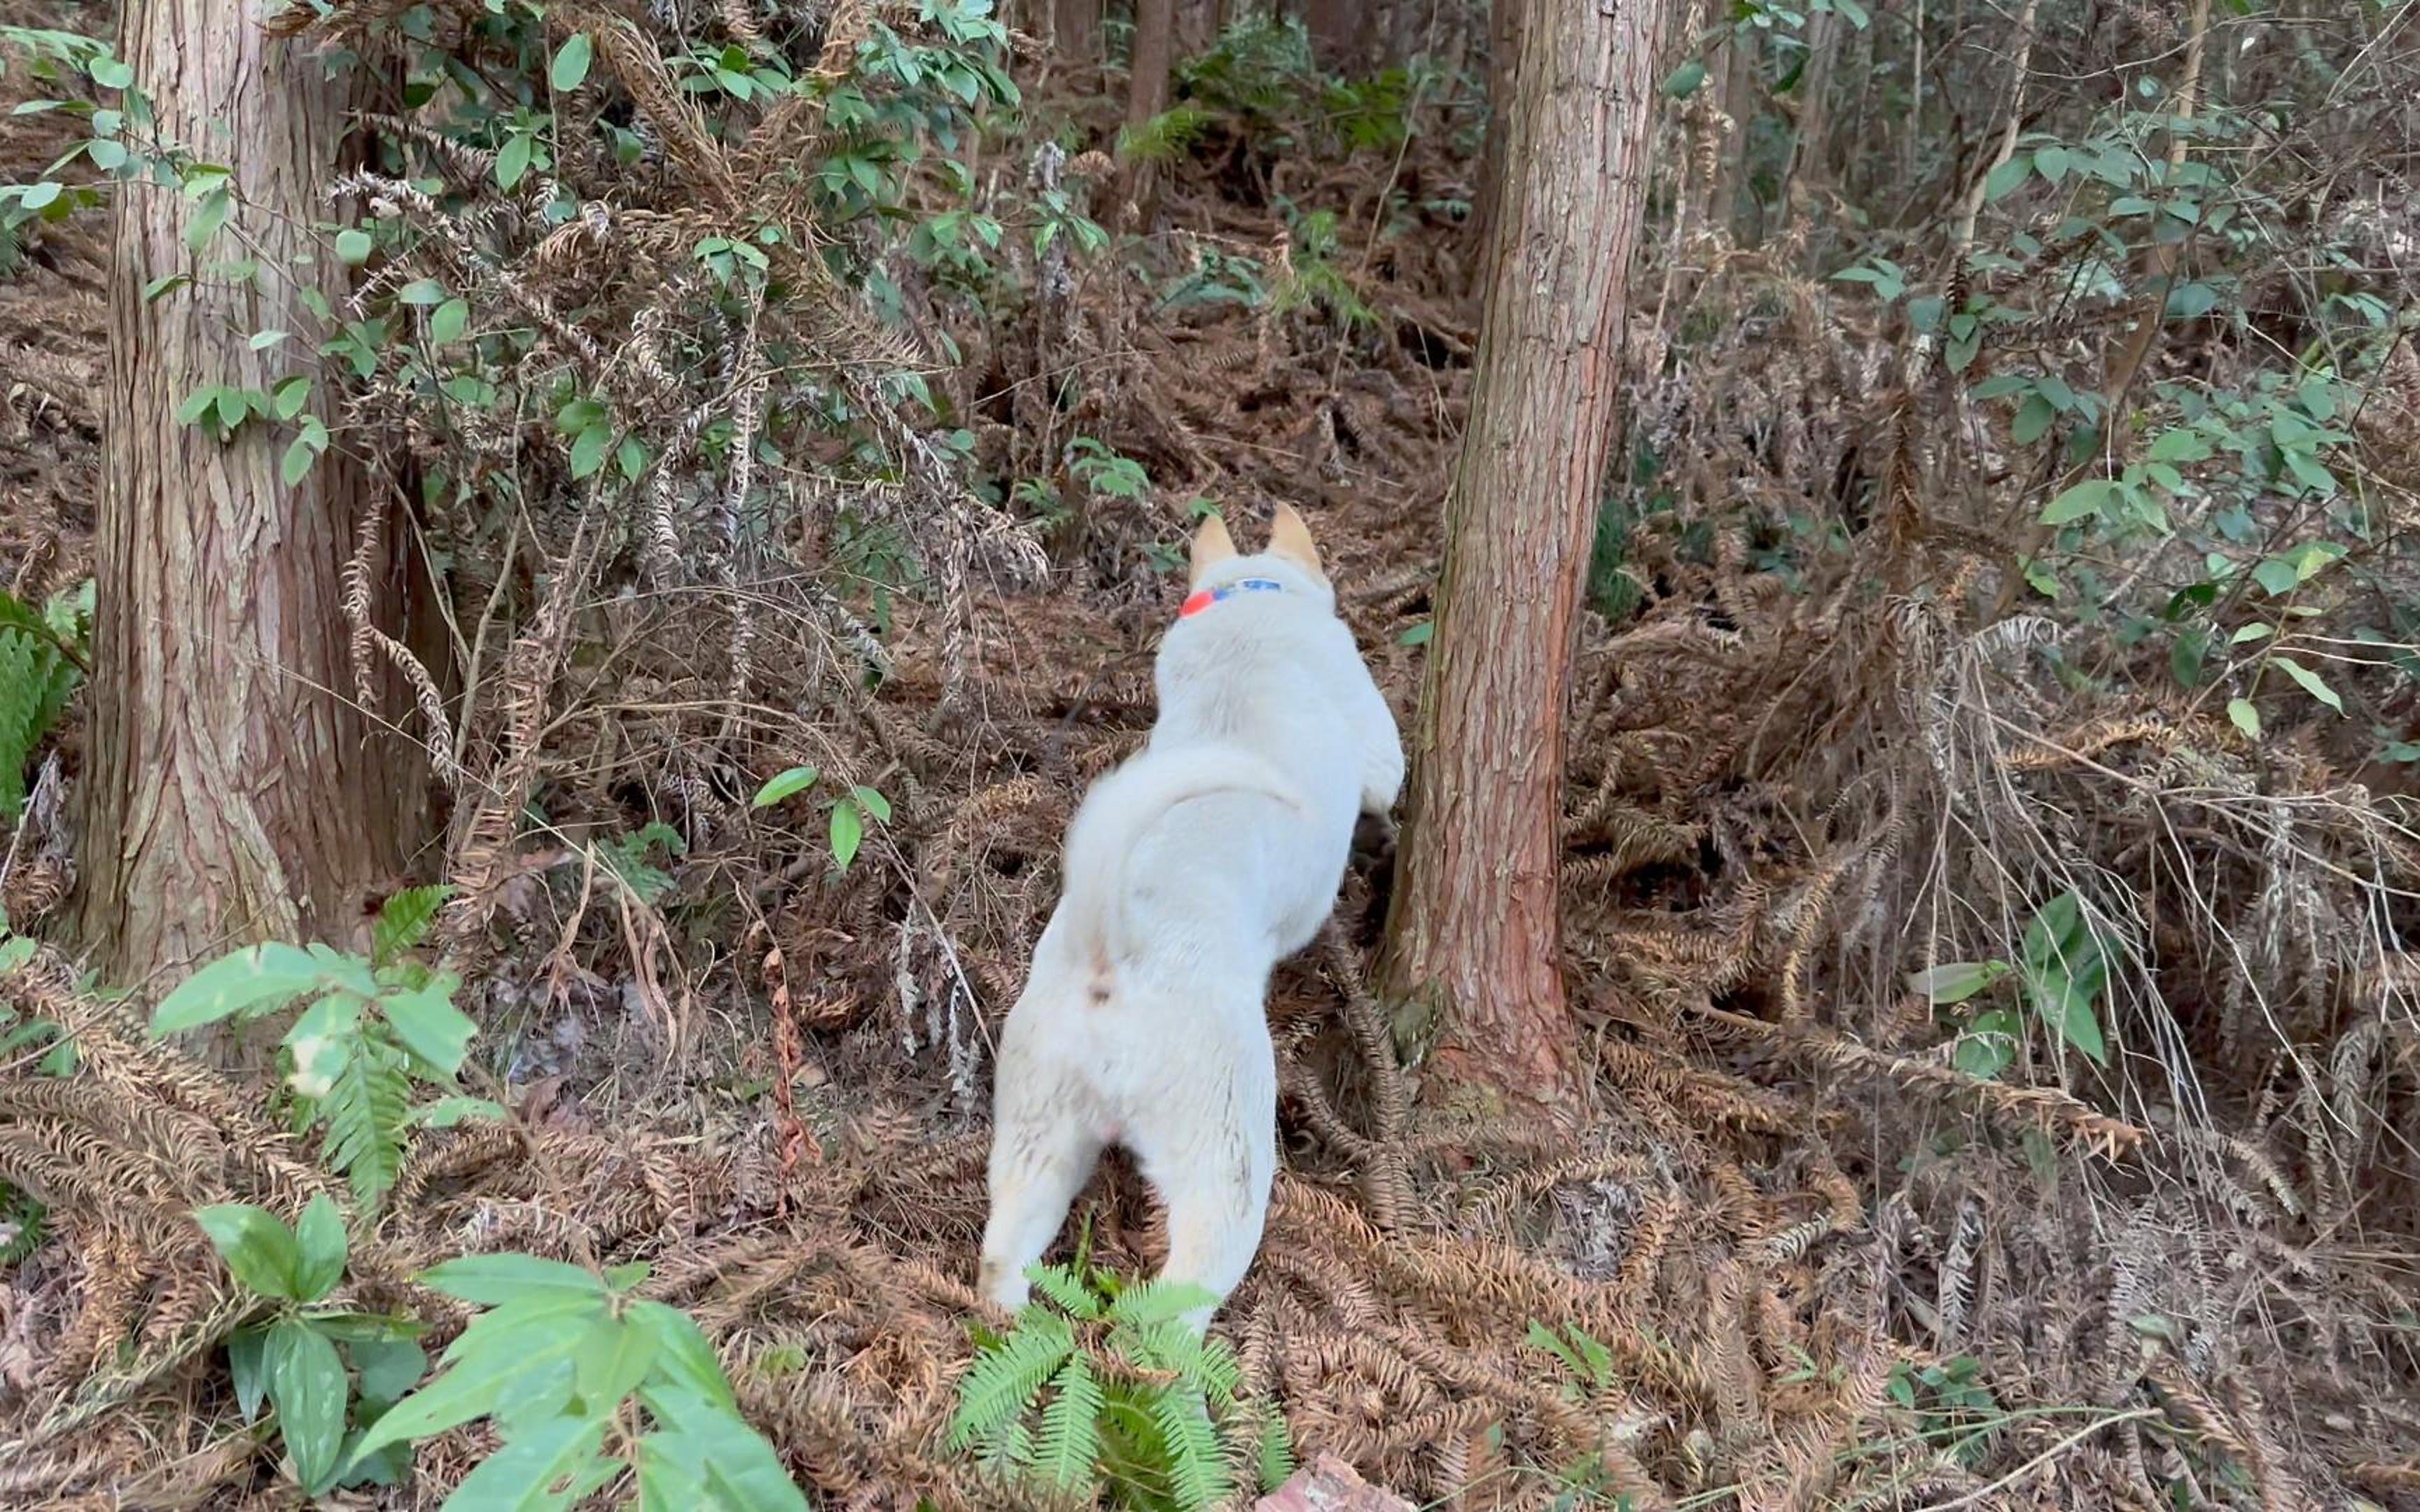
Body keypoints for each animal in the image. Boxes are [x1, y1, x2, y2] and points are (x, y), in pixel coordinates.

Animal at [978, 503, 1413, 1316]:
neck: (1248, 600)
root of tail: (1110, 959)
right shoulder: (1374, 738)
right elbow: (1388, 776)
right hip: (1225, 1145)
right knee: (1182, 1294)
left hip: (1037, 1124)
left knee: (1004, 1253)